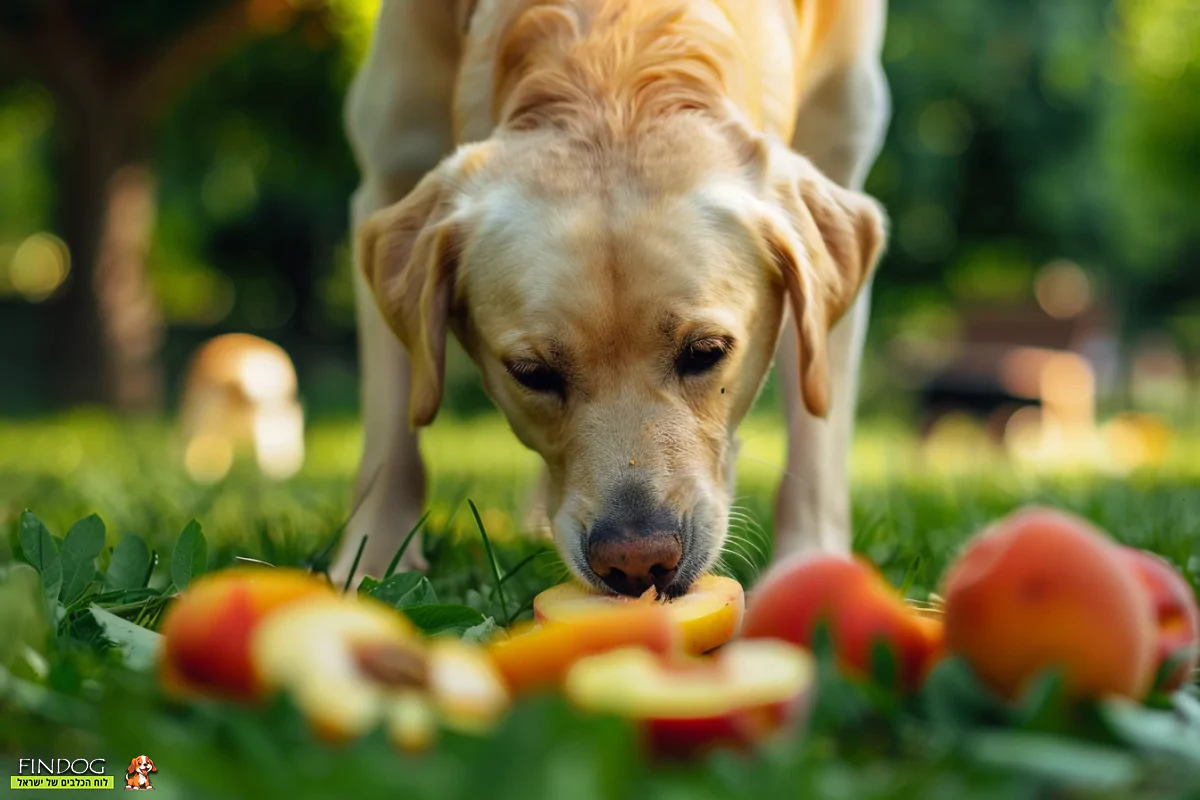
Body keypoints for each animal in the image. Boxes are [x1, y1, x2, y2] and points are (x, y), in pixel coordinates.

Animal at [333, 0, 888, 594]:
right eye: (531, 373)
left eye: (707, 352)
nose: (637, 562)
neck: (614, 65)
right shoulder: (390, 166)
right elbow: (392, 431)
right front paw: (369, 565)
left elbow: (817, 430)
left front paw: (812, 570)